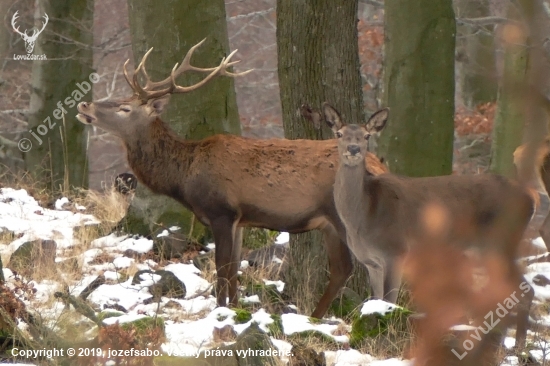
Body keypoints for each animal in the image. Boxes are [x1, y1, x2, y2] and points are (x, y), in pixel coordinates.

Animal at [75, 38, 390, 316]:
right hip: (329, 224)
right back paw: (318, 316)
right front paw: (238, 310)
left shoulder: (221, 211)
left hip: (344, 216)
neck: (185, 177)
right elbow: (235, 269)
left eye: (124, 108)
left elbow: (222, 267)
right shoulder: (240, 219)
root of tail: (382, 167)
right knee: (342, 269)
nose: (83, 106)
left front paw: (221, 310)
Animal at [326, 101, 536, 348]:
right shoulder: (372, 263)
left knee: (526, 290)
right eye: (339, 133)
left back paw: (519, 347)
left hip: (501, 242)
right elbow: (375, 301)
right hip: (483, 251)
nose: (353, 149)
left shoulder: (396, 252)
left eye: (366, 135)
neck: (363, 217)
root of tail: (530, 200)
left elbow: (390, 301)